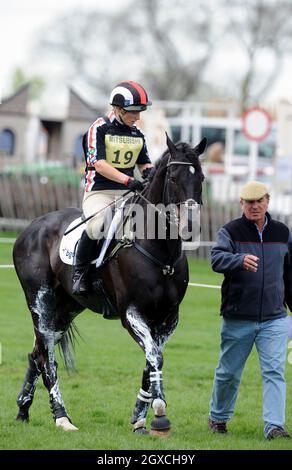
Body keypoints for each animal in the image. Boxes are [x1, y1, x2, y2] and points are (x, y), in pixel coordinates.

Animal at [13, 134, 205, 436]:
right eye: (173, 177)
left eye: (202, 178)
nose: (189, 226)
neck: (160, 250)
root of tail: (30, 228)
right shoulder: (132, 314)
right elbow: (155, 357)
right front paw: (159, 414)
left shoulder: (168, 318)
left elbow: (151, 359)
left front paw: (139, 418)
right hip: (40, 303)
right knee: (47, 358)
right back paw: (62, 418)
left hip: (66, 308)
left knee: (36, 353)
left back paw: (23, 409)